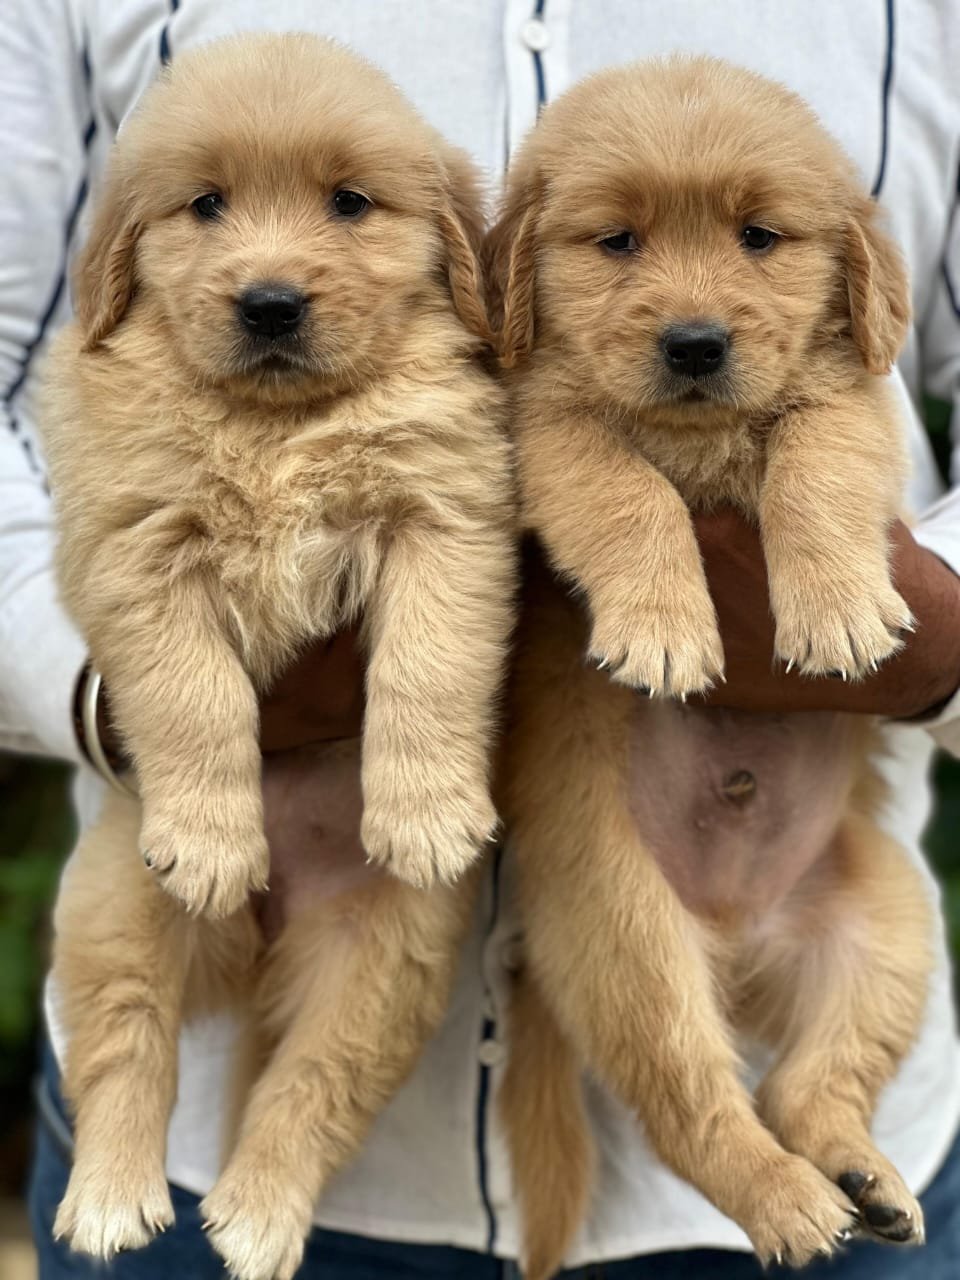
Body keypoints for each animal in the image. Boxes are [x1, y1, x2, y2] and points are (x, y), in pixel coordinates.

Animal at [41, 30, 514, 1280]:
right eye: (206, 205)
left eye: (349, 203)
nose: (268, 304)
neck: (279, 423)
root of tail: (263, 942)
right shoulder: (140, 550)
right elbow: (194, 695)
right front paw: (214, 836)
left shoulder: (446, 520)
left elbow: (426, 666)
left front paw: (426, 810)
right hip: (114, 904)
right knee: (127, 1047)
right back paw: (112, 1195)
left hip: (384, 963)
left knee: (309, 1090)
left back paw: (256, 1213)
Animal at [491, 55, 936, 1274]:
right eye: (618, 241)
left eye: (759, 237)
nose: (694, 343)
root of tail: (741, 937)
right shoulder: (542, 427)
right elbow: (625, 488)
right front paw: (663, 625)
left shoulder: (854, 400)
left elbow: (813, 463)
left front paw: (836, 611)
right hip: (629, 943)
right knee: (698, 1109)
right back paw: (789, 1202)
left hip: (891, 926)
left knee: (806, 1087)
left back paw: (861, 1175)